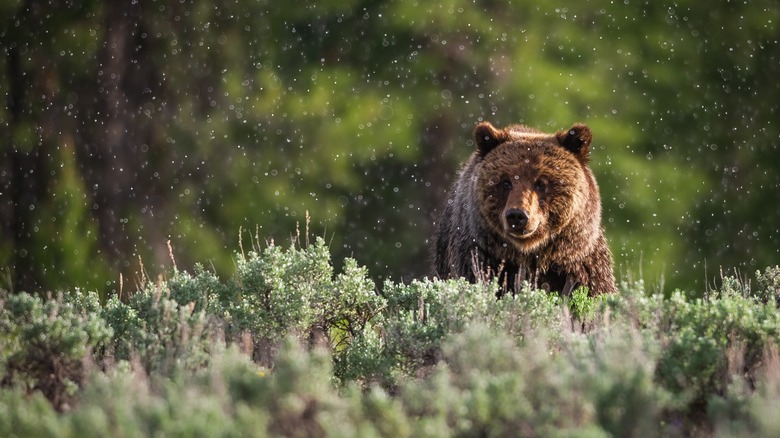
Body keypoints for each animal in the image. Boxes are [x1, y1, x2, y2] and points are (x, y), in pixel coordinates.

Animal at [430, 121, 620, 296]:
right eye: (505, 182)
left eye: (541, 183)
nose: (517, 215)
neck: (529, 255)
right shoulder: (479, 255)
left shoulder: (578, 262)